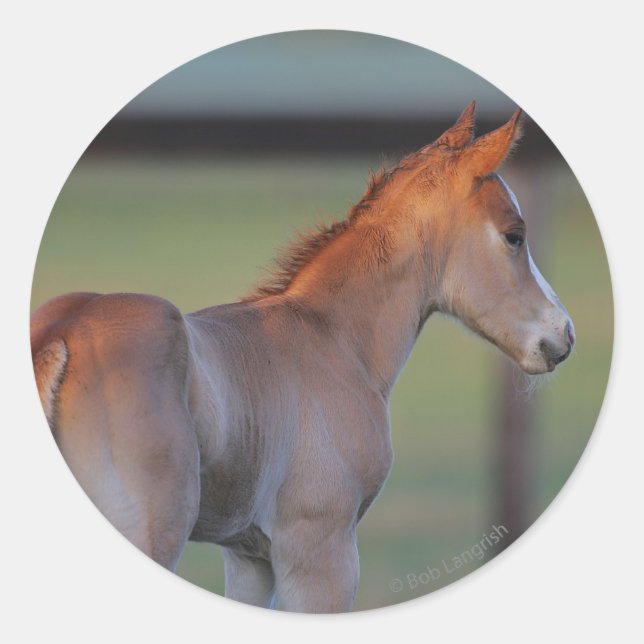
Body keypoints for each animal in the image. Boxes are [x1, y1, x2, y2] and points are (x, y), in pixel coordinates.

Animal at [30, 102, 575, 613]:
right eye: (514, 235)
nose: (563, 335)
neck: (333, 341)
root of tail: (62, 335)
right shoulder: (321, 550)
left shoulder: (249, 556)